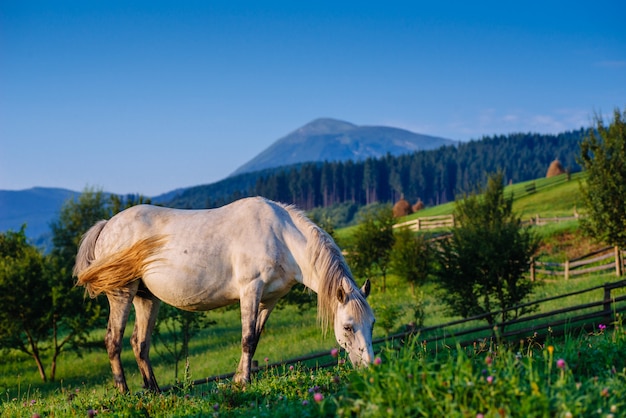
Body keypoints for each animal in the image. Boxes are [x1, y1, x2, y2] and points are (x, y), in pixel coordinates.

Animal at [73, 196, 376, 392]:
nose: (370, 367)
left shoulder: (268, 301)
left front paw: (240, 379)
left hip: (146, 298)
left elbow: (255, 339)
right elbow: (247, 339)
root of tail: (106, 225)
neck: (281, 237)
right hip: (121, 293)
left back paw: (154, 391)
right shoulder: (250, 290)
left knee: (139, 343)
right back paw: (124, 392)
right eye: (348, 327)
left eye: (372, 324)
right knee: (113, 341)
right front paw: (244, 382)